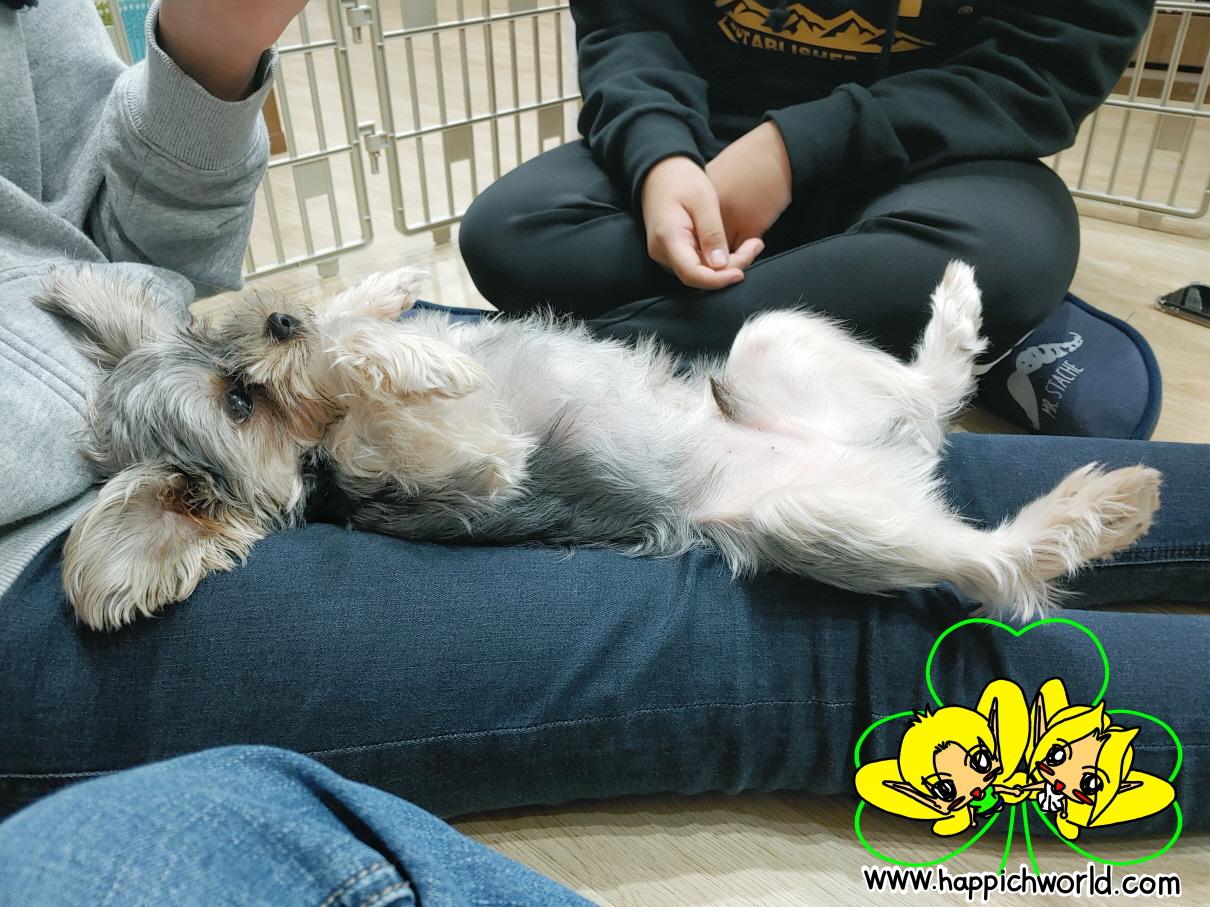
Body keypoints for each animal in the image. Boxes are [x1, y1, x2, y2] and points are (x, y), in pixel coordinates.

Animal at [36, 263, 1161, 631]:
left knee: (929, 391)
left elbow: (359, 323)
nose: (275, 323)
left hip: (767, 349)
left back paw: (958, 313)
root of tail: (897, 462)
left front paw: (386, 292)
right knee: (995, 566)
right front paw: (396, 354)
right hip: (804, 515)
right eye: (236, 401)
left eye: (217, 351)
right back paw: (1099, 507)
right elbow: (368, 391)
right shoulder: (467, 464)